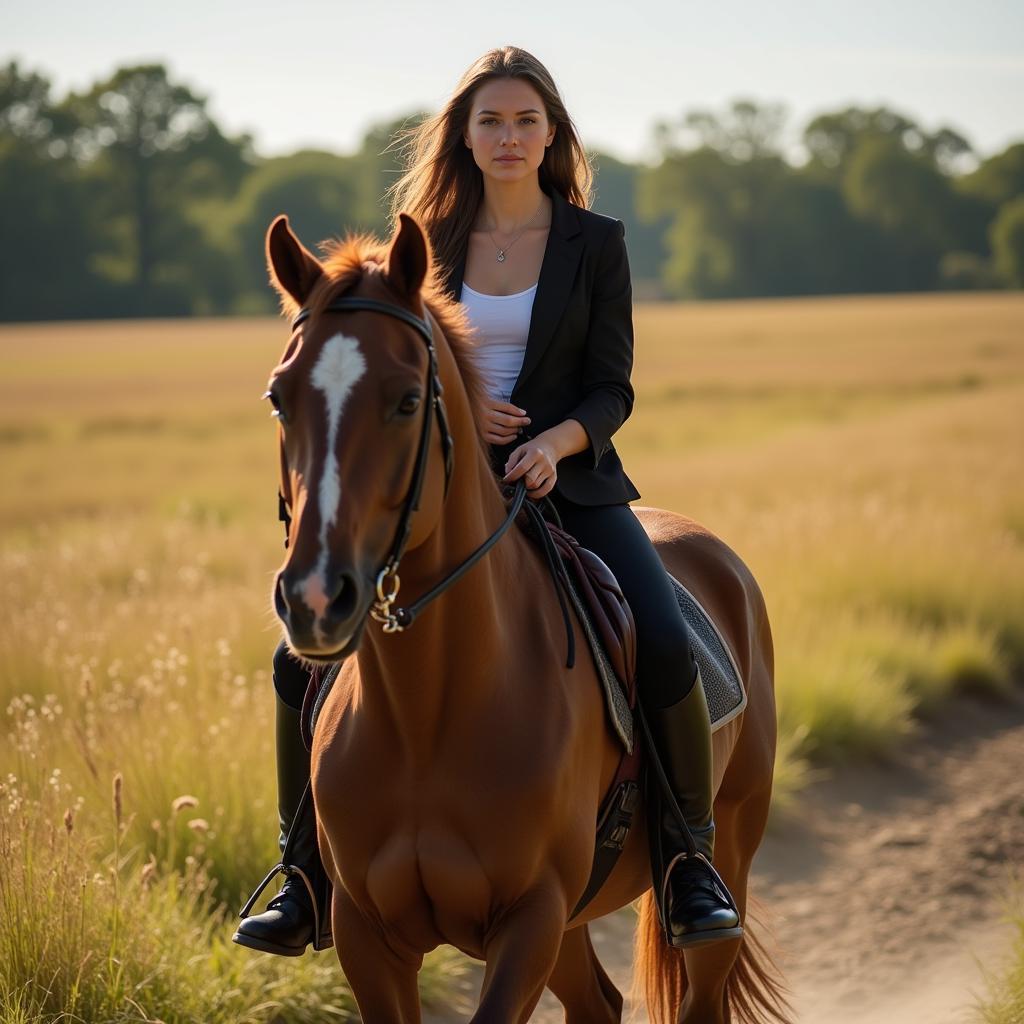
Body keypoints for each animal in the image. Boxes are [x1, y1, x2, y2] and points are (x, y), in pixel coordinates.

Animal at [264, 209, 790, 1024]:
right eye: (280, 397)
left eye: (407, 400)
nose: (318, 598)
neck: (429, 711)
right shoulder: (365, 934)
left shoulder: (529, 917)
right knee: (597, 1002)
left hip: (727, 853)